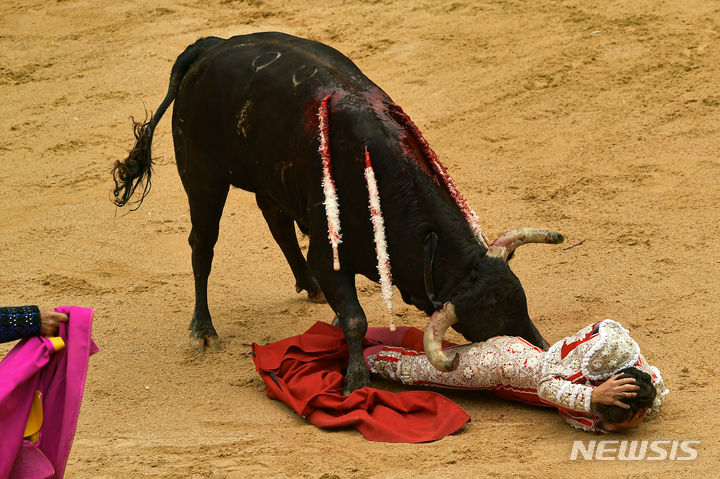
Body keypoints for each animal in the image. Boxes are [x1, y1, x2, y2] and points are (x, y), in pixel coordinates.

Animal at [112, 32, 564, 394]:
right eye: (487, 329)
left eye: (521, 303)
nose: (540, 349)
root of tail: (211, 48)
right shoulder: (329, 255)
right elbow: (355, 319)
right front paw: (356, 380)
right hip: (203, 175)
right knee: (202, 244)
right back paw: (203, 332)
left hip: (270, 176)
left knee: (275, 220)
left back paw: (308, 286)